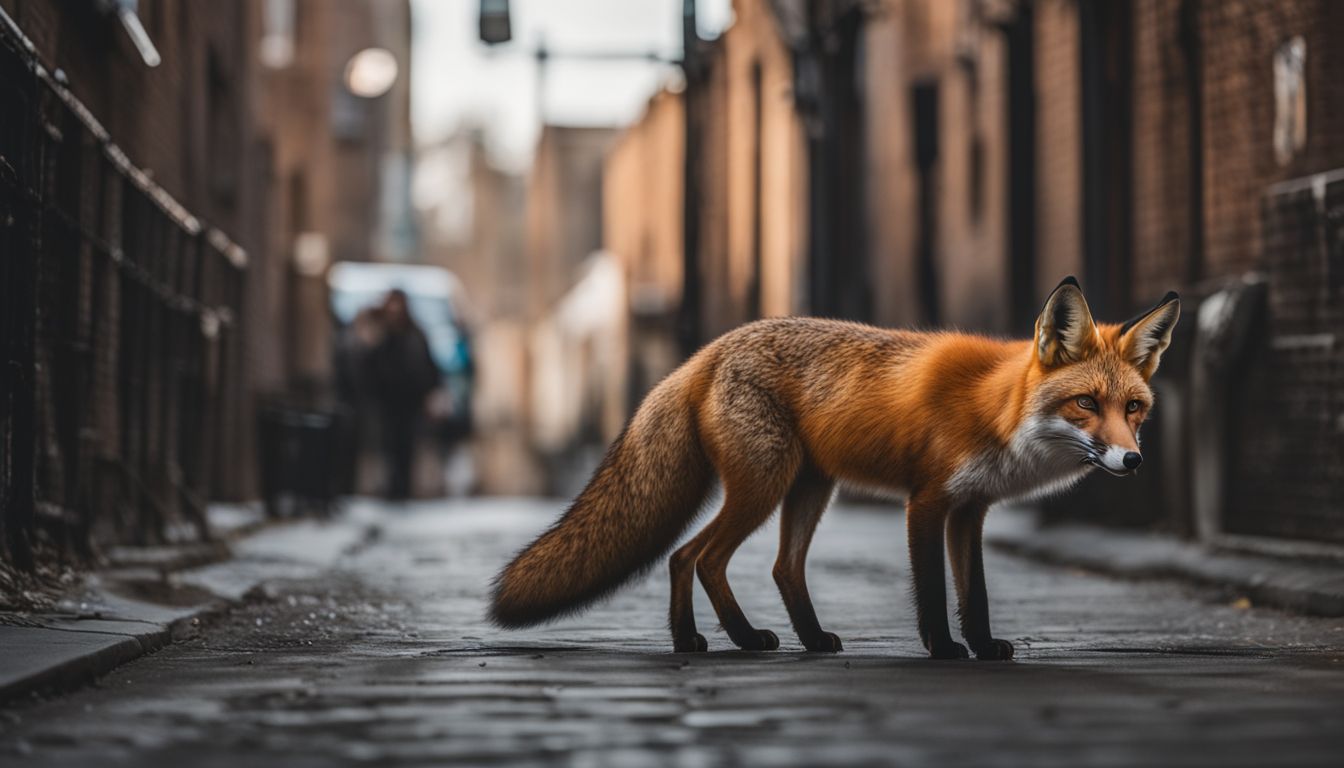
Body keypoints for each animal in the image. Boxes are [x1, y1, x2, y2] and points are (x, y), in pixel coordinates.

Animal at [490, 277, 1180, 660]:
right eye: (1085, 403)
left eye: (1134, 408)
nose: (1133, 458)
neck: (997, 409)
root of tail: (708, 351)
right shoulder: (928, 501)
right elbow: (935, 592)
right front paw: (944, 650)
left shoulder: (971, 510)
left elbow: (976, 595)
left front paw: (983, 648)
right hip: (764, 485)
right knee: (694, 556)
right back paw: (727, 640)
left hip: (810, 488)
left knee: (776, 566)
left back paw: (785, 640)